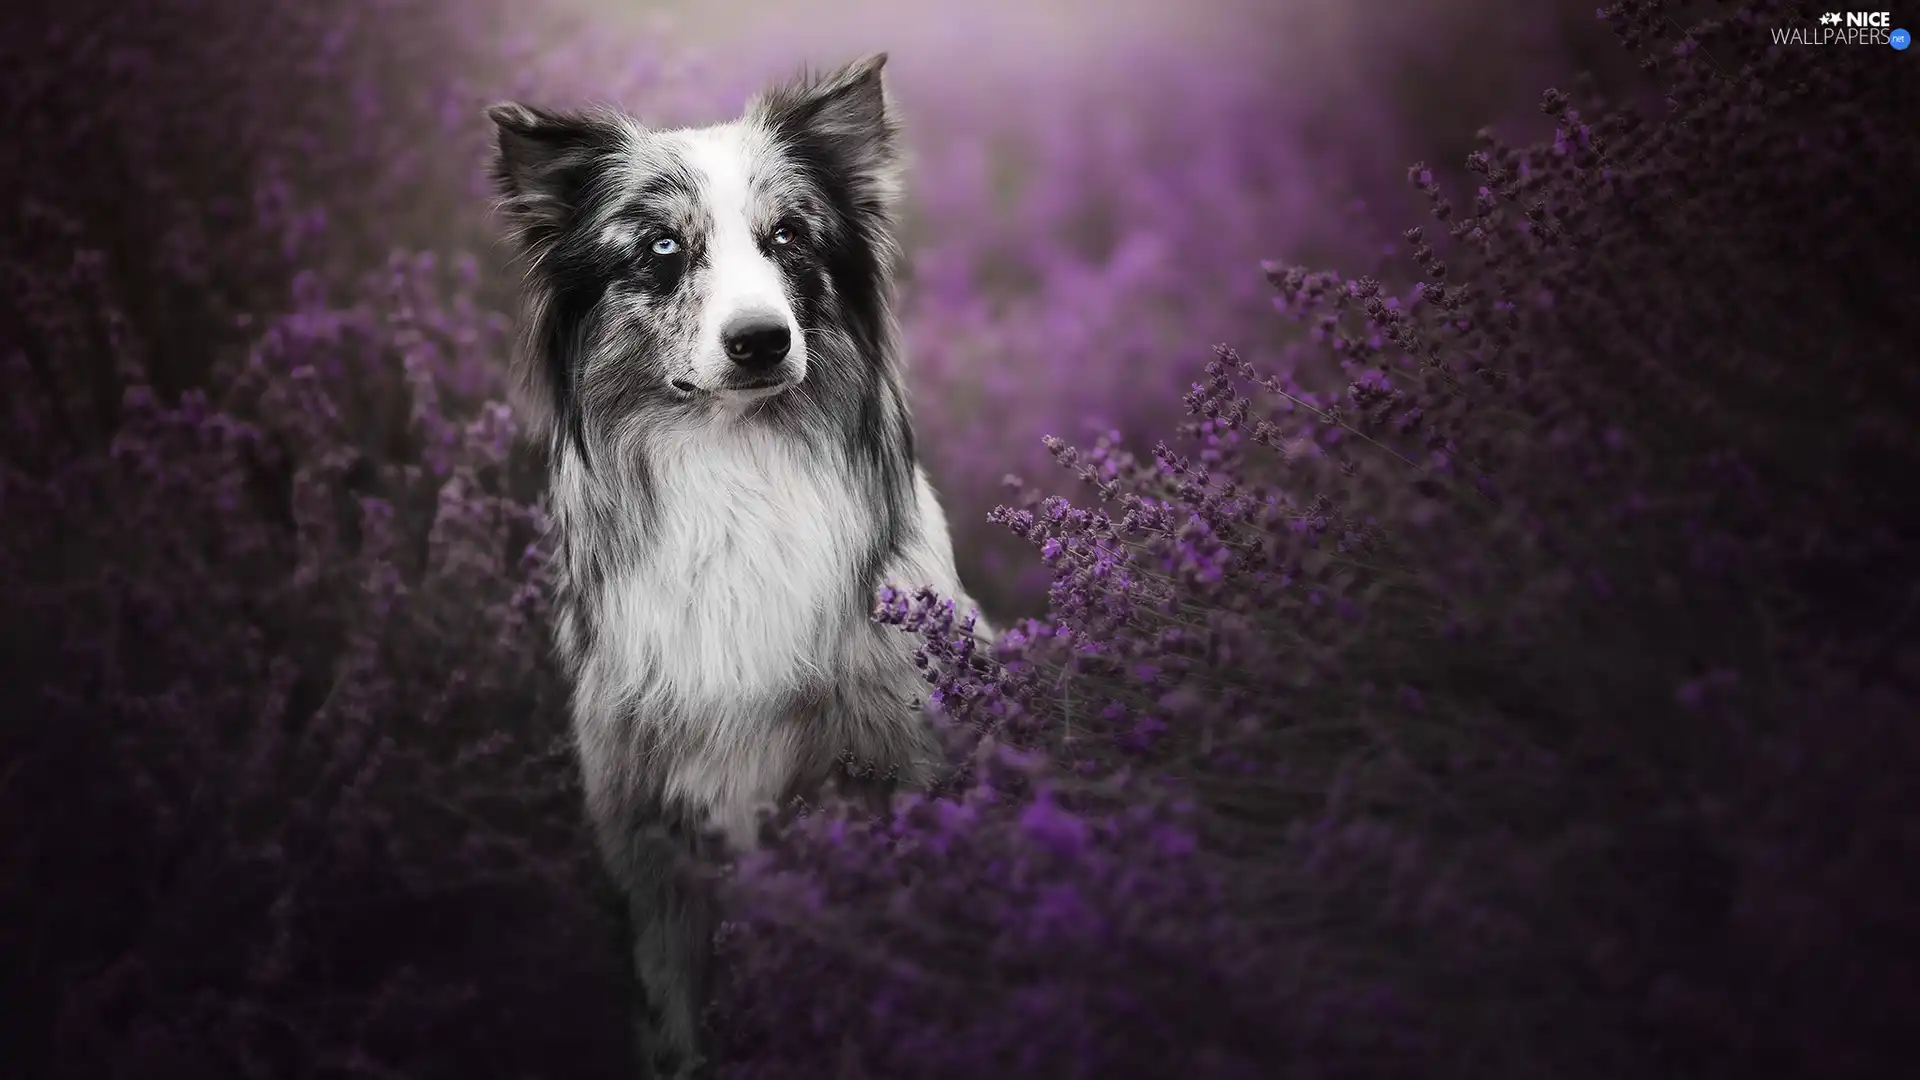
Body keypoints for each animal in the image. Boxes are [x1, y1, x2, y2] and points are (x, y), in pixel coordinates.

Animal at [487, 52, 990, 1076]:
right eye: (662, 248)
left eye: (788, 234)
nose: (761, 340)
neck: (737, 473)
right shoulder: (651, 838)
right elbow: (672, 1023)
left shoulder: (899, 768)